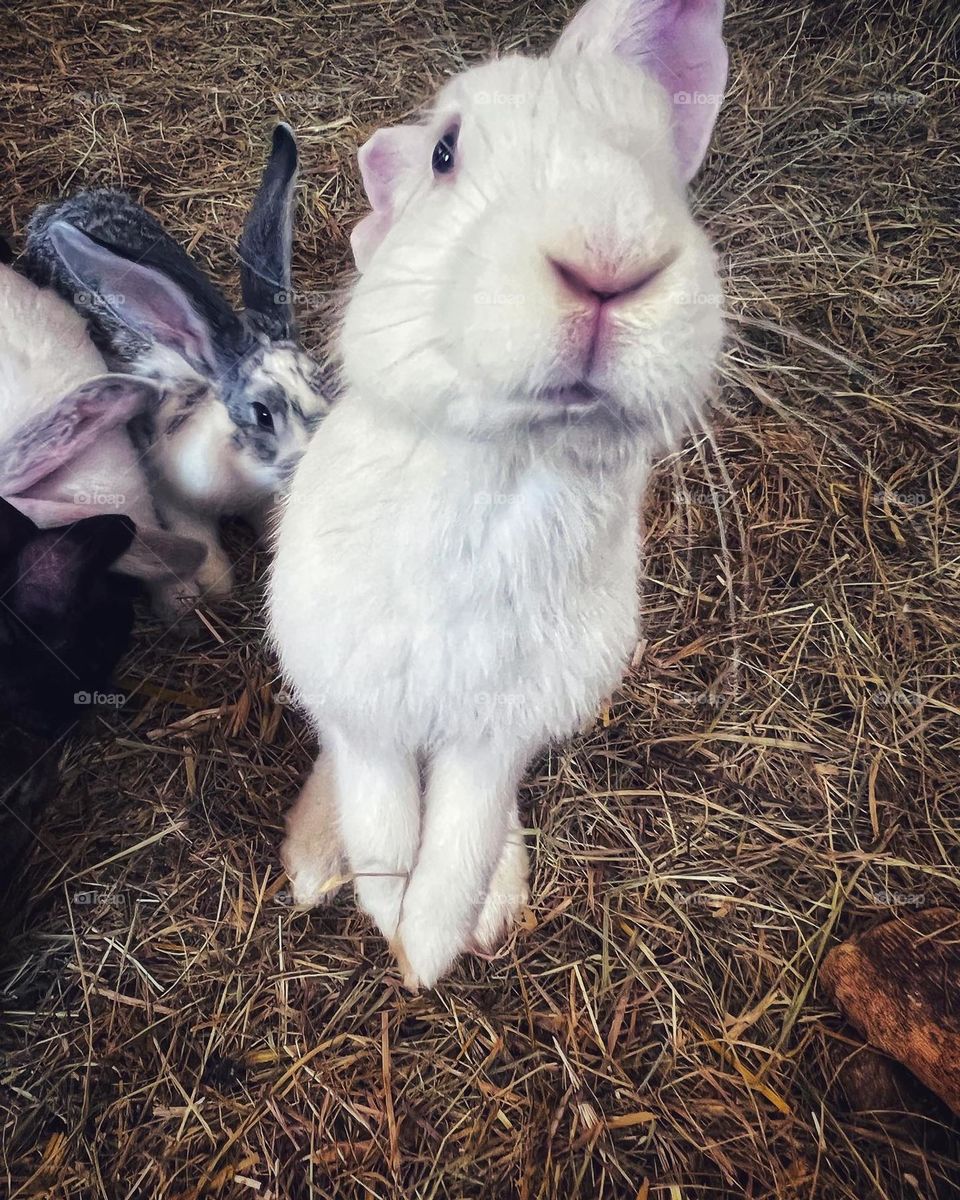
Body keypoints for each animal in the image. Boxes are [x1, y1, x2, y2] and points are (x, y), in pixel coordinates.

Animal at [22, 124, 331, 598]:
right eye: (262, 414)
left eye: (323, 382)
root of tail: (58, 206)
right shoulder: (173, 498)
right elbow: (200, 543)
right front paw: (214, 583)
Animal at [270, 0, 728, 989]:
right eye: (447, 153)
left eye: (658, 163)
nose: (610, 255)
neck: (513, 463)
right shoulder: (362, 705)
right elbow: (383, 813)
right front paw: (389, 920)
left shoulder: (500, 735)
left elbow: (465, 833)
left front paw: (428, 949)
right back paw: (316, 864)